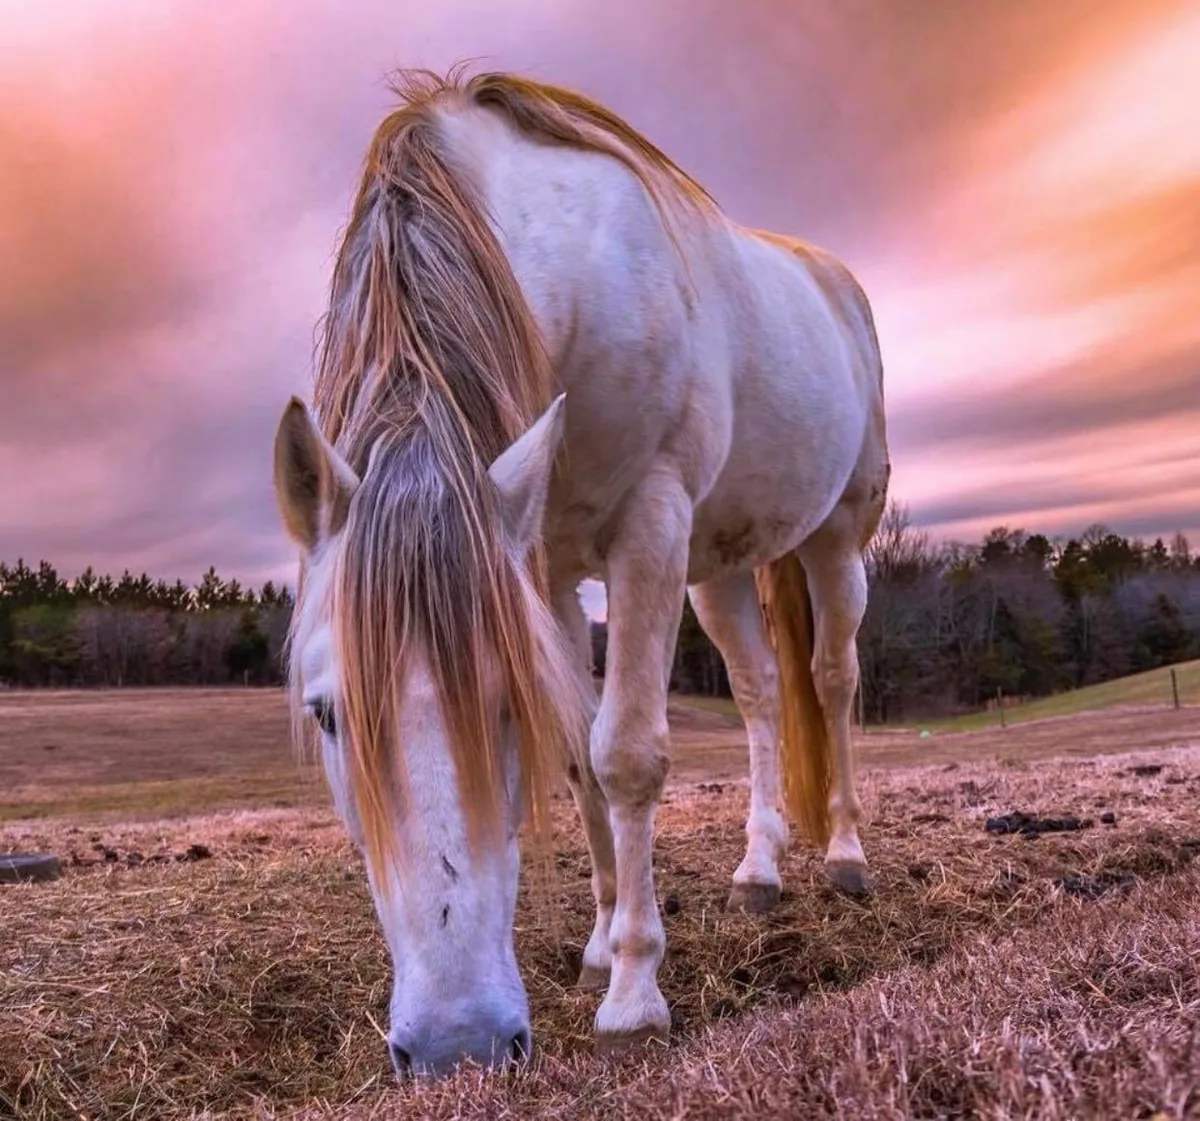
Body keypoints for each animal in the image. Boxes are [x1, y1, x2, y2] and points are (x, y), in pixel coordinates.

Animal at [271, 66, 890, 1078]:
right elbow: (578, 756)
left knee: (832, 678)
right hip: (718, 570)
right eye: (328, 714)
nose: (458, 1046)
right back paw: (759, 870)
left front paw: (634, 991)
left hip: (838, 535)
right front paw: (603, 941)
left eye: (503, 705)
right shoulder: (550, 562)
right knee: (762, 691)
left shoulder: (650, 523)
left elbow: (627, 753)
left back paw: (843, 854)